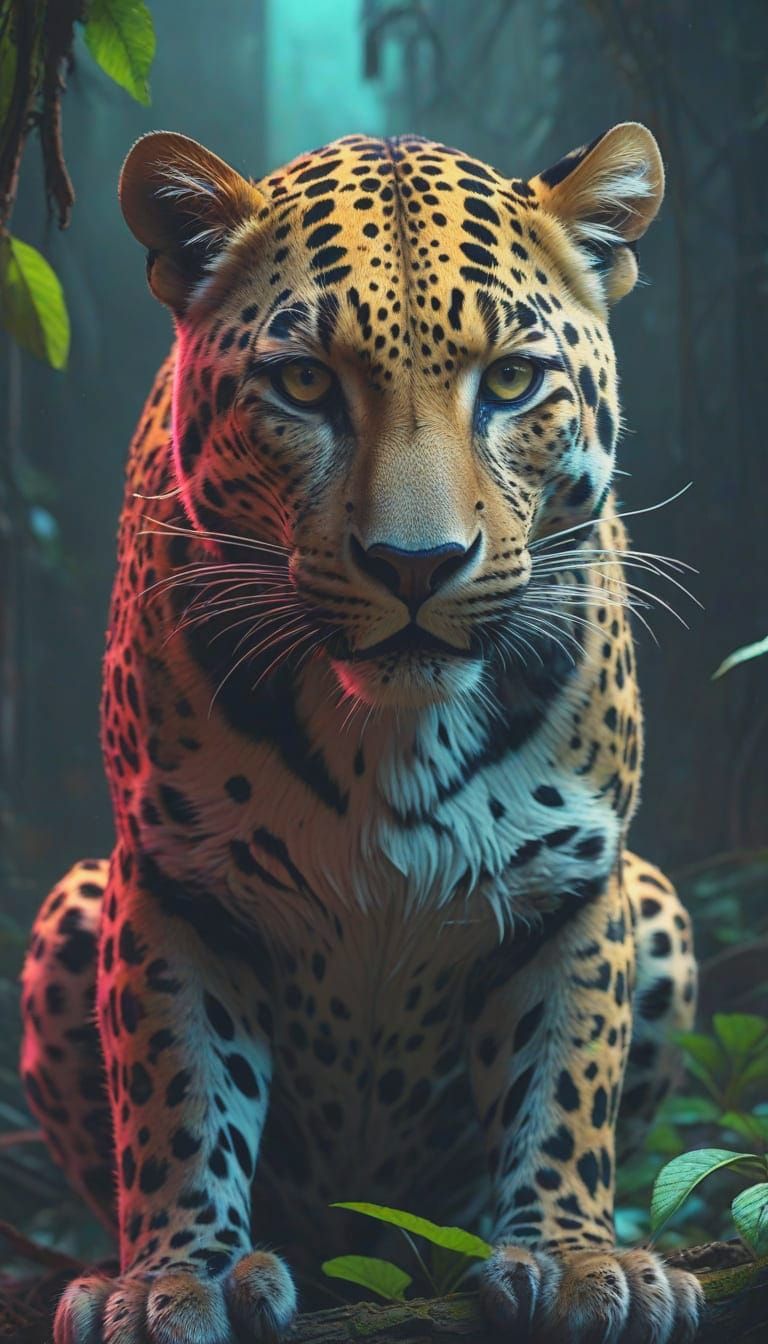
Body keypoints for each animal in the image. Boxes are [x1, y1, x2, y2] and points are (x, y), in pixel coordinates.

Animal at [20, 123, 702, 1344]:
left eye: (512, 380)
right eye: (304, 383)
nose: (416, 565)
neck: (391, 735)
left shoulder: (576, 881)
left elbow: (568, 1081)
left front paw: (577, 1257)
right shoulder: (171, 883)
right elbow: (177, 1094)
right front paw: (178, 1277)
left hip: (657, 896)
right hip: (72, 900)